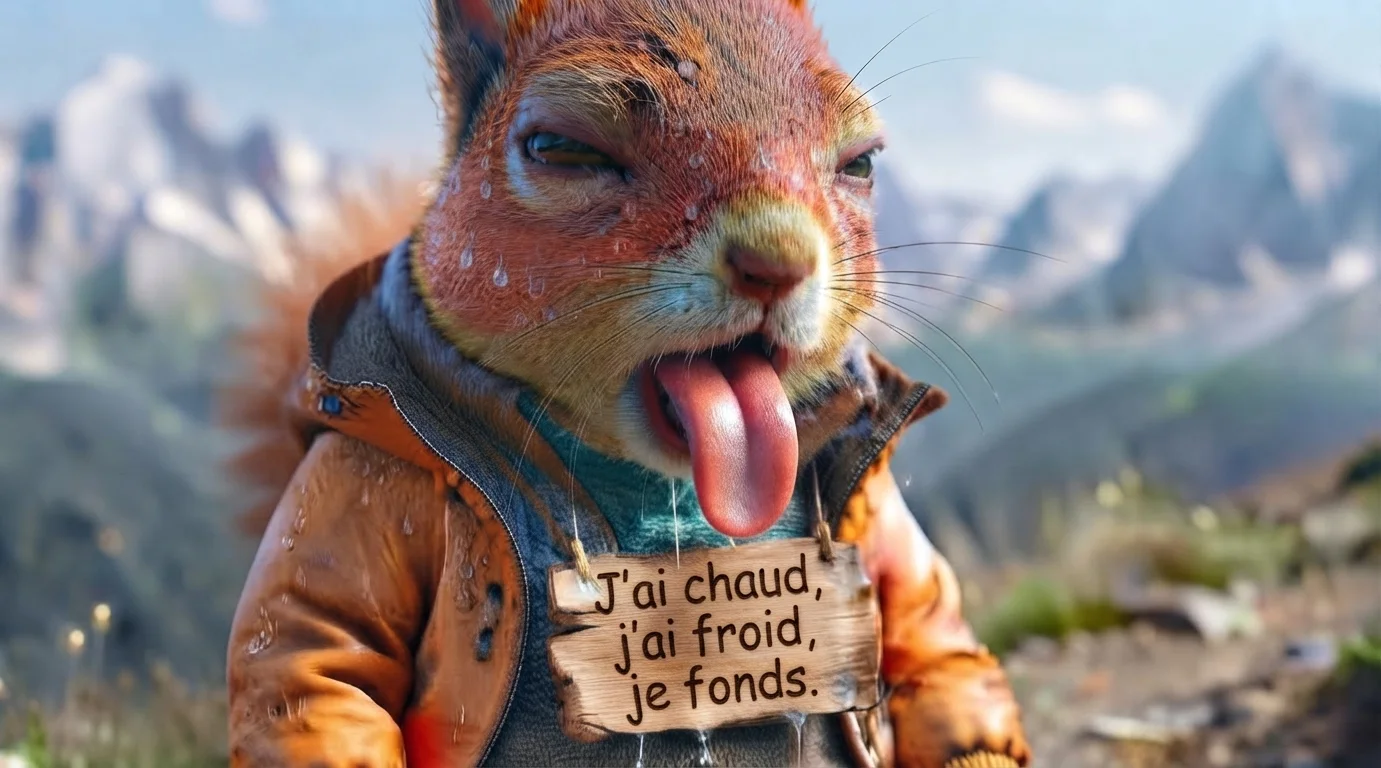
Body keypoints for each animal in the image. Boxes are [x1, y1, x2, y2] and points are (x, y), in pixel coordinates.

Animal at [219, 0, 1031, 766]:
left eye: (861, 163)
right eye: (562, 148)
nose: (777, 261)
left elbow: (929, 636)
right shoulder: (367, 476)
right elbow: (316, 655)